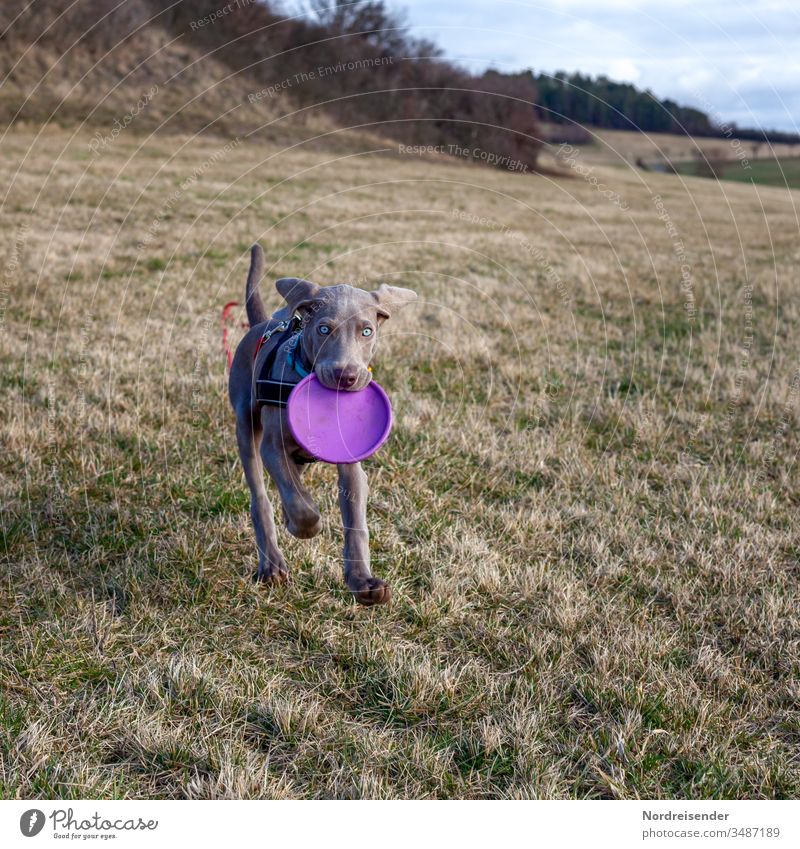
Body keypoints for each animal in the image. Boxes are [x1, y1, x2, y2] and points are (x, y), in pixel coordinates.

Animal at [228, 243, 418, 604]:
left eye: (367, 331)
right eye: (324, 329)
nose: (347, 376)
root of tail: (262, 325)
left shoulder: (352, 463)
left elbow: (356, 522)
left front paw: (362, 582)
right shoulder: (272, 446)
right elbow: (300, 503)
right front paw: (306, 526)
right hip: (245, 422)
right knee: (260, 493)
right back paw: (272, 562)